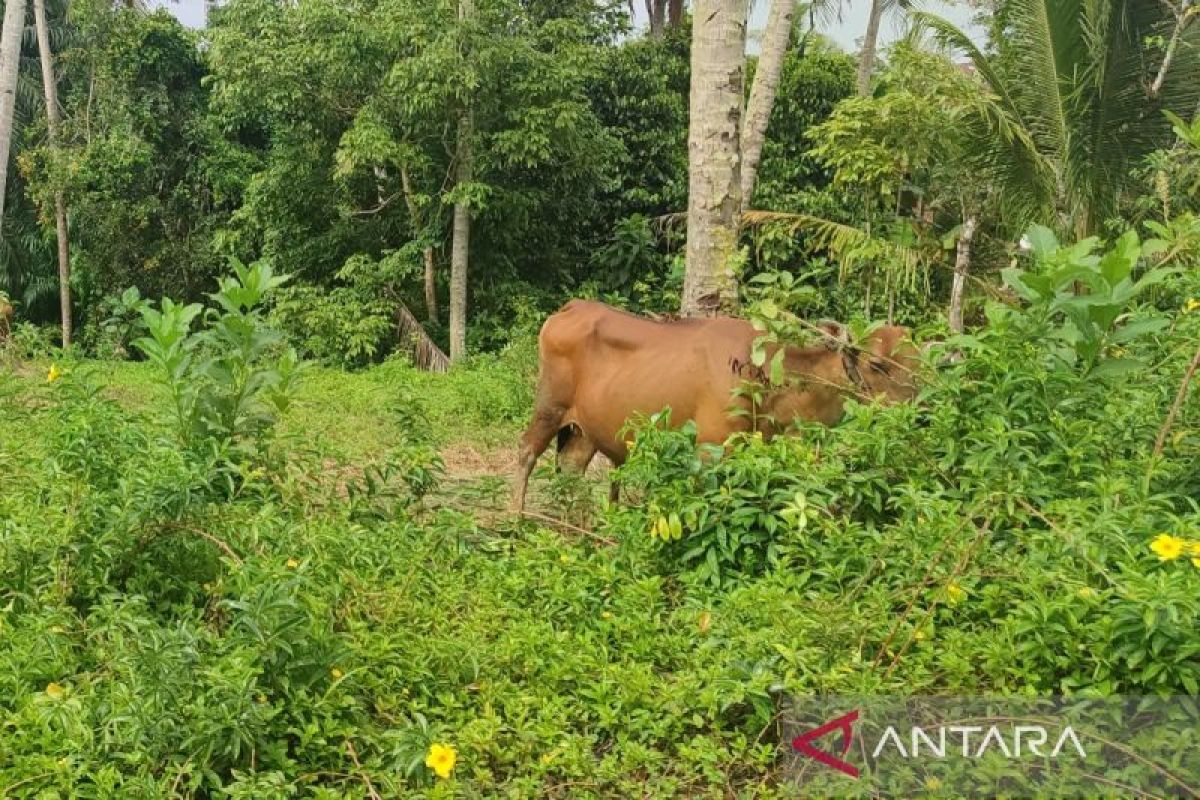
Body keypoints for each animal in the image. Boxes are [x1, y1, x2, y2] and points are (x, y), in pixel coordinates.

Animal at [511, 297, 921, 510]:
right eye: (877, 363)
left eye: (918, 363)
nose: (914, 413)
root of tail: (573, 307)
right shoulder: (711, 448)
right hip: (549, 406)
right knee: (527, 454)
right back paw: (516, 522)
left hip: (584, 429)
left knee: (571, 468)